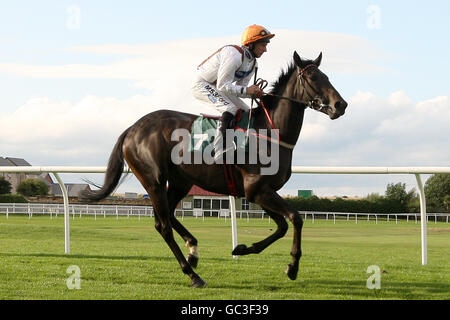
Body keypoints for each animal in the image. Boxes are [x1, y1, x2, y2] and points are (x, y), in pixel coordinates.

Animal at [79, 52, 348, 288]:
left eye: (326, 76)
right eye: (313, 77)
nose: (340, 105)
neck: (269, 132)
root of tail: (132, 128)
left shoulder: (258, 193)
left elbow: (281, 226)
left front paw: (243, 248)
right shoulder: (256, 189)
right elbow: (295, 218)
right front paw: (292, 267)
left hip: (180, 181)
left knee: (168, 216)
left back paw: (193, 250)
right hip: (153, 179)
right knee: (163, 225)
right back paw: (192, 274)